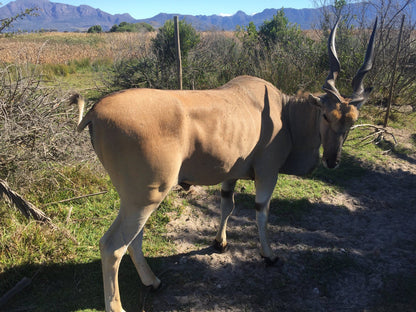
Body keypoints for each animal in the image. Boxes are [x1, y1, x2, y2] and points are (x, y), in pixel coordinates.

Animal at [72, 18, 376, 310]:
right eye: (325, 115)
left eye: (352, 121)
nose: (332, 160)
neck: (285, 114)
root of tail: (95, 112)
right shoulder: (268, 173)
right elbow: (261, 212)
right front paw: (269, 255)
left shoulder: (231, 174)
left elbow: (227, 204)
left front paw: (220, 243)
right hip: (147, 197)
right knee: (112, 247)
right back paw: (118, 305)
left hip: (136, 200)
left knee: (134, 238)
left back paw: (153, 281)